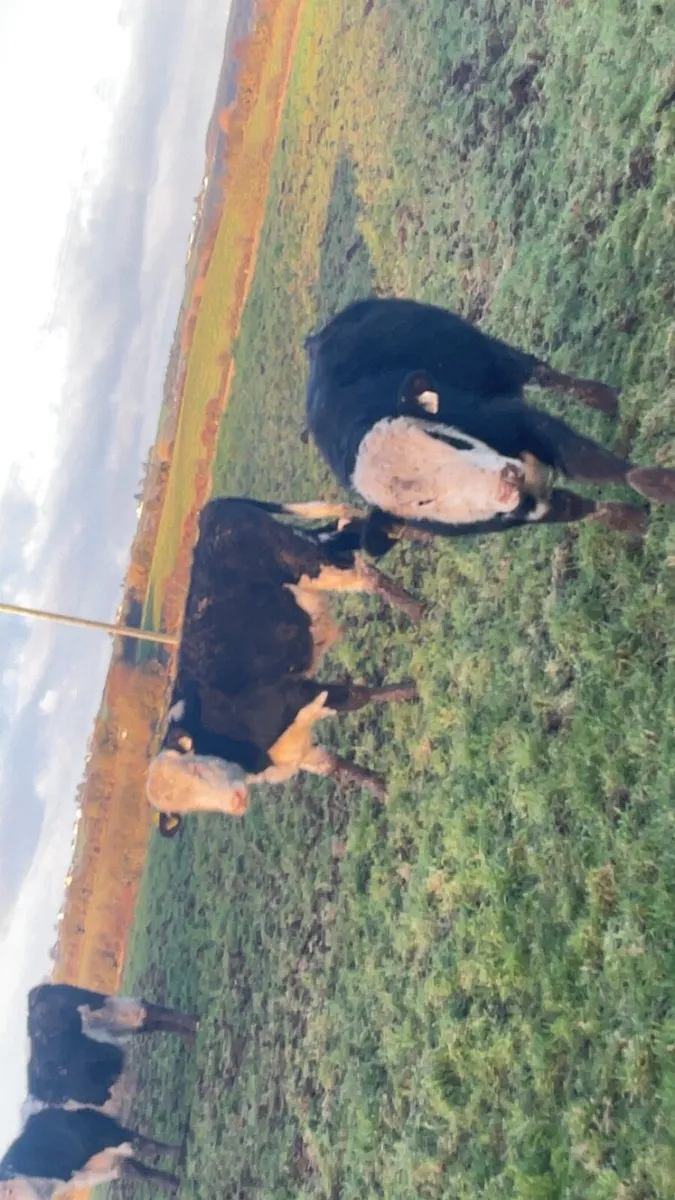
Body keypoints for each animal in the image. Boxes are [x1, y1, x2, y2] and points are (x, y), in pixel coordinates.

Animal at [0, 1107, 182, 1195]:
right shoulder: (97, 1172)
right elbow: (137, 1171)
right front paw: (174, 1185)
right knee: (137, 1160)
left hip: (109, 1134)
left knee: (142, 1145)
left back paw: (178, 1153)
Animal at [145, 497, 422, 836]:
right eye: (188, 808)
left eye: (196, 768)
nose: (237, 802)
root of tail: (213, 508)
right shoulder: (294, 753)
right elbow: (337, 767)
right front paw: (384, 791)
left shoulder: (295, 693)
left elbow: (358, 696)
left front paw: (413, 690)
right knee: (347, 531)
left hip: (311, 563)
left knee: (367, 574)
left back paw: (422, 611)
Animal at [305, 296, 675, 550]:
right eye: (423, 502)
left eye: (448, 440)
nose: (507, 481)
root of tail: (316, 339)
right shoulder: (519, 513)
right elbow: (575, 507)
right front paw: (632, 522)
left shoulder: (522, 424)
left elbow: (596, 463)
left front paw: (661, 486)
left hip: (491, 356)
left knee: (542, 373)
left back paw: (609, 401)